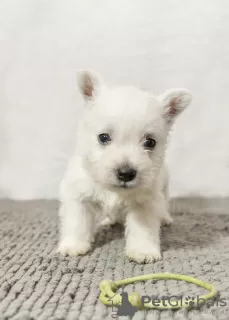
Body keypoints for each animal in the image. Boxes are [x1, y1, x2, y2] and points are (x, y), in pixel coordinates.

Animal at [57, 71, 191, 264]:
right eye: (103, 137)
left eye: (150, 142)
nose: (126, 173)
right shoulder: (78, 196)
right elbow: (77, 222)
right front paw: (73, 246)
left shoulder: (145, 202)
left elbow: (143, 229)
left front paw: (143, 251)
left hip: (164, 189)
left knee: (164, 204)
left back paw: (165, 218)